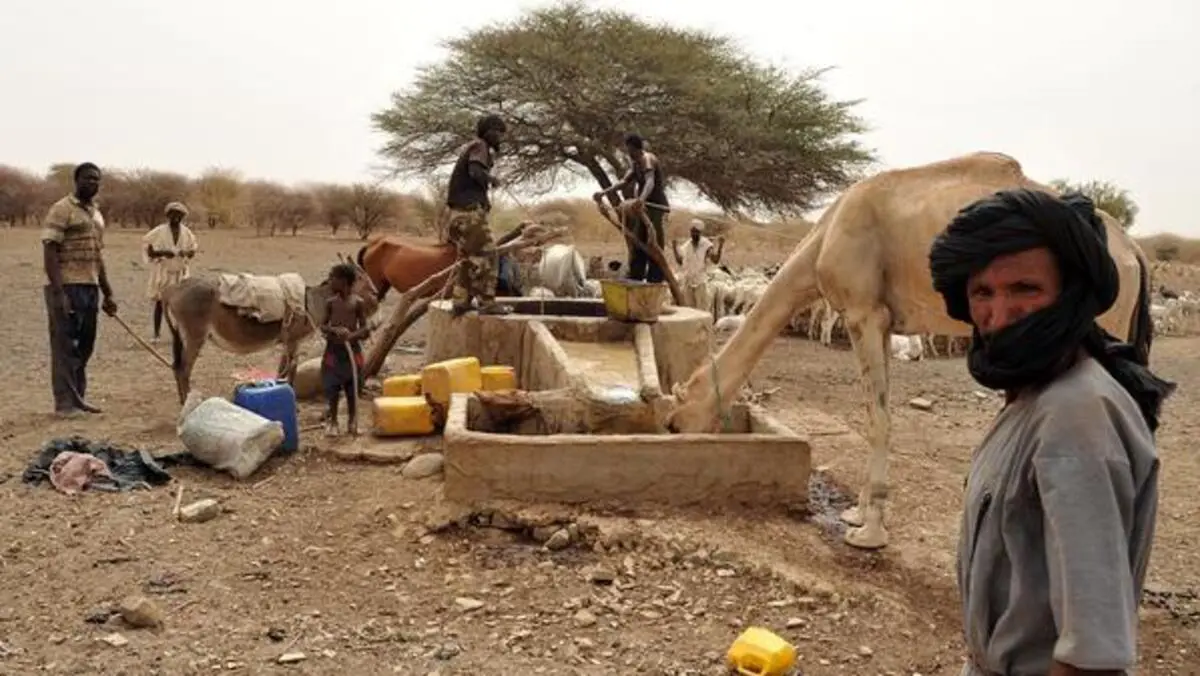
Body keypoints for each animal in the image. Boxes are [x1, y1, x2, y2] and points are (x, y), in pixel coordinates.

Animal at [159, 252, 374, 401]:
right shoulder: (293, 341)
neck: (312, 301)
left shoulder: (288, 342)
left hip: (183, 336)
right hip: (195, 336)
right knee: (184, 369)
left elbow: (282, 370)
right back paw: (188, 403)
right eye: (361, 277)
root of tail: (173, 289)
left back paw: (184, 402)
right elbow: (291, 369)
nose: (375, 293)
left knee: (177, 367)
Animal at [667, 151, 1152, 549]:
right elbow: (875, 413)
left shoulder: (862, 311)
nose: (671, 427)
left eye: (680, 404)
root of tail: (1134, 252)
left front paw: (869, 532)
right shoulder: (883, 321)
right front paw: (858, 513)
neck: (825, 236)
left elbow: (878, 418)